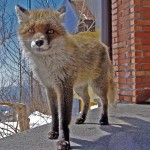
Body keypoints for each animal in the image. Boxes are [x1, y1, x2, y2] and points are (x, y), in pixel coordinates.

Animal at [15, 4, 116, 150]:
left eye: (50, 31)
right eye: (31, 30)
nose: (39, 42)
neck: (49, 66)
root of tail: (102, 44)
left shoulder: (64, 87)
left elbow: (63, 119)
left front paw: (64, 141)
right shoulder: (50, 88)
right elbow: (55, 115)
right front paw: (54, 132)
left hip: (97, 86)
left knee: (105, 101)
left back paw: (104, 119)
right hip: (79, 88)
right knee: (87, 100)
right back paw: (82, 118)